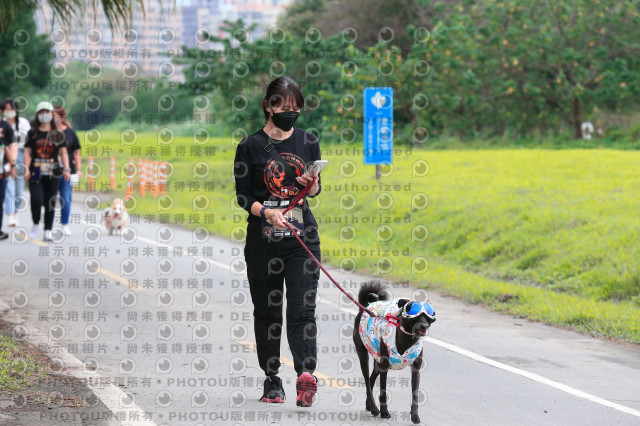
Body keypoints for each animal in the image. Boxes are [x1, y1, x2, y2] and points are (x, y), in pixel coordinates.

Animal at [352, 282, 438, 424]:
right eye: (414, 313)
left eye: (428, 315)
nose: (424, 326)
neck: (407, 338)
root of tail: (365, 308)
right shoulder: (385, 368)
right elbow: (383, 392)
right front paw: (384, 412)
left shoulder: (415, 370)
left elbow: (415, 395)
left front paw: (415, 416)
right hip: (364, 355)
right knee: (367, 381)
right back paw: (374, 408)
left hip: (378, 362)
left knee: (370, 380)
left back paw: (369, 405)